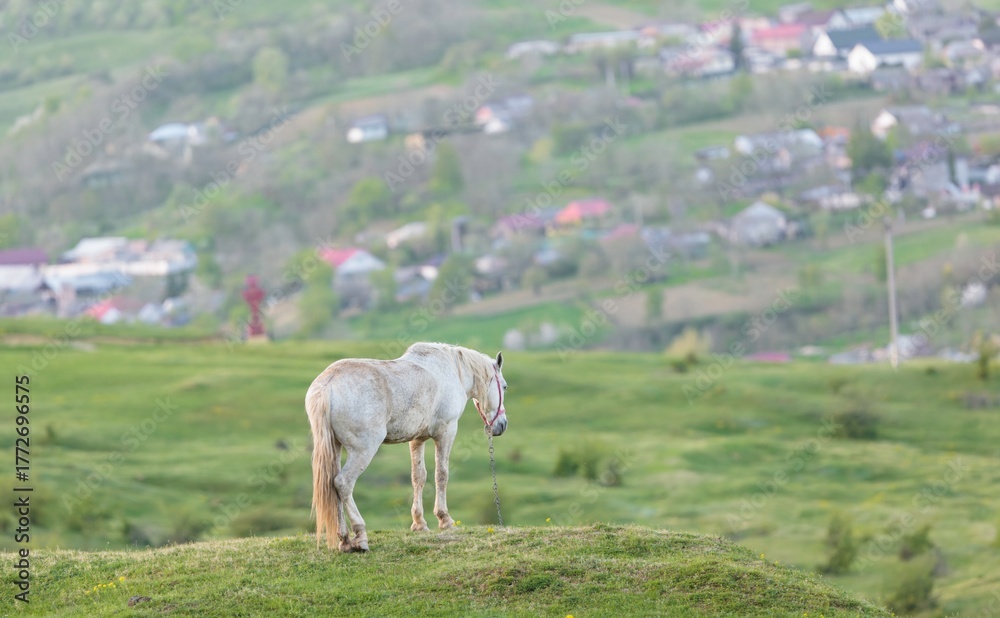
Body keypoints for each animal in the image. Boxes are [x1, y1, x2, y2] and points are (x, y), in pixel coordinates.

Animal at [306, 342, 508, 552]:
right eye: (505, 387)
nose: (502, 425)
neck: (452, 370)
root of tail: (328, 384)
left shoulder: (417, 439)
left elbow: (418, 477)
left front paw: (419, 523)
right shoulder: (446, 432)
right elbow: (441, 474)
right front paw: (445, 519)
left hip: (335, 448)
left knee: (332, 485)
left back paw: (345, 540)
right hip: (363, 450)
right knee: (343, 483)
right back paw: (360, 537)